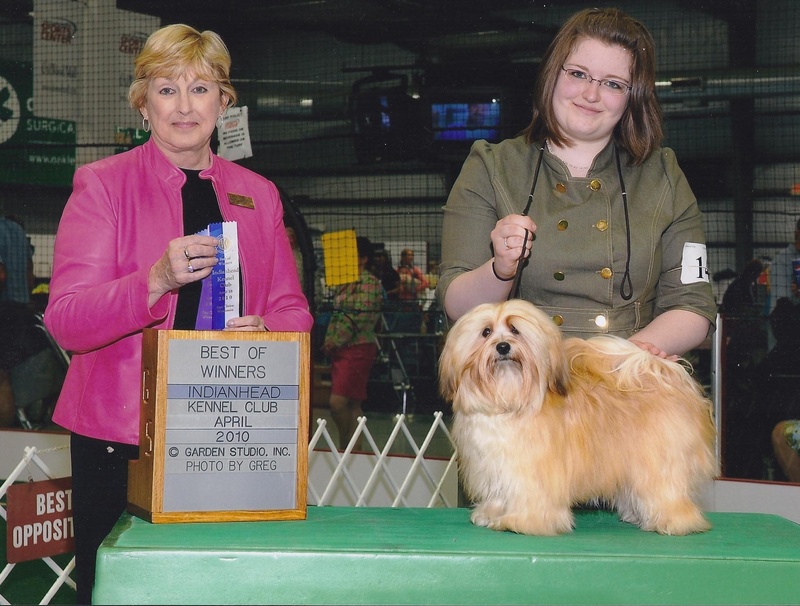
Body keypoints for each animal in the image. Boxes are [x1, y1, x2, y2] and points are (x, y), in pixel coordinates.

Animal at [438, 300, 720, 536]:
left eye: (515, 330)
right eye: (486, 332)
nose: (503, 346)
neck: (508, 400)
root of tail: (664, 373)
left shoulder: (531, 470)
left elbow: (531, 496)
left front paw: (523, 521)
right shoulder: (493, 466)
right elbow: (498, 493)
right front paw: (491, 514)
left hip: (661, 461)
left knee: (667, 491)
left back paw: (674, 522)